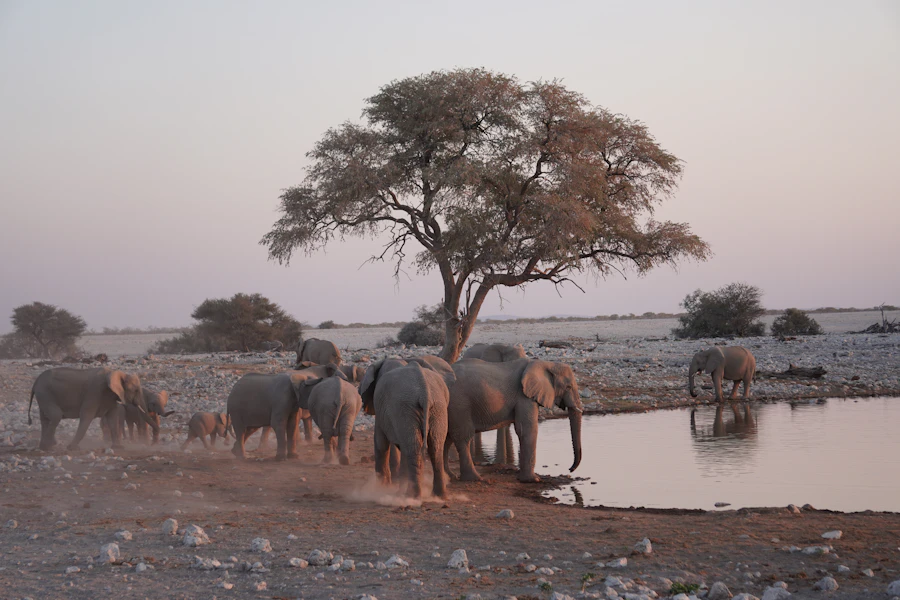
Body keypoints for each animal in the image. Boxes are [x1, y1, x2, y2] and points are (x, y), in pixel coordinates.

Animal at [360, 358, 454, 498]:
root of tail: (424, 392)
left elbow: (381, 443)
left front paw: (382, 488)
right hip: (438, 409)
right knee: (434, 447)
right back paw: (438, 495)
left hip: (406, 409)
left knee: (413, 447)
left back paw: (412, 495)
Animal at [446, 358, 583, 483]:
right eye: (568, 387)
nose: (570, 469)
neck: (545, 363)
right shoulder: (524, 396)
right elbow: (527, 430)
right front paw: (533, 480)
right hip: (459, 403)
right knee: (462, 438)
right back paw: (474, 479)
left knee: (447, 438)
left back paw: (451, 476)